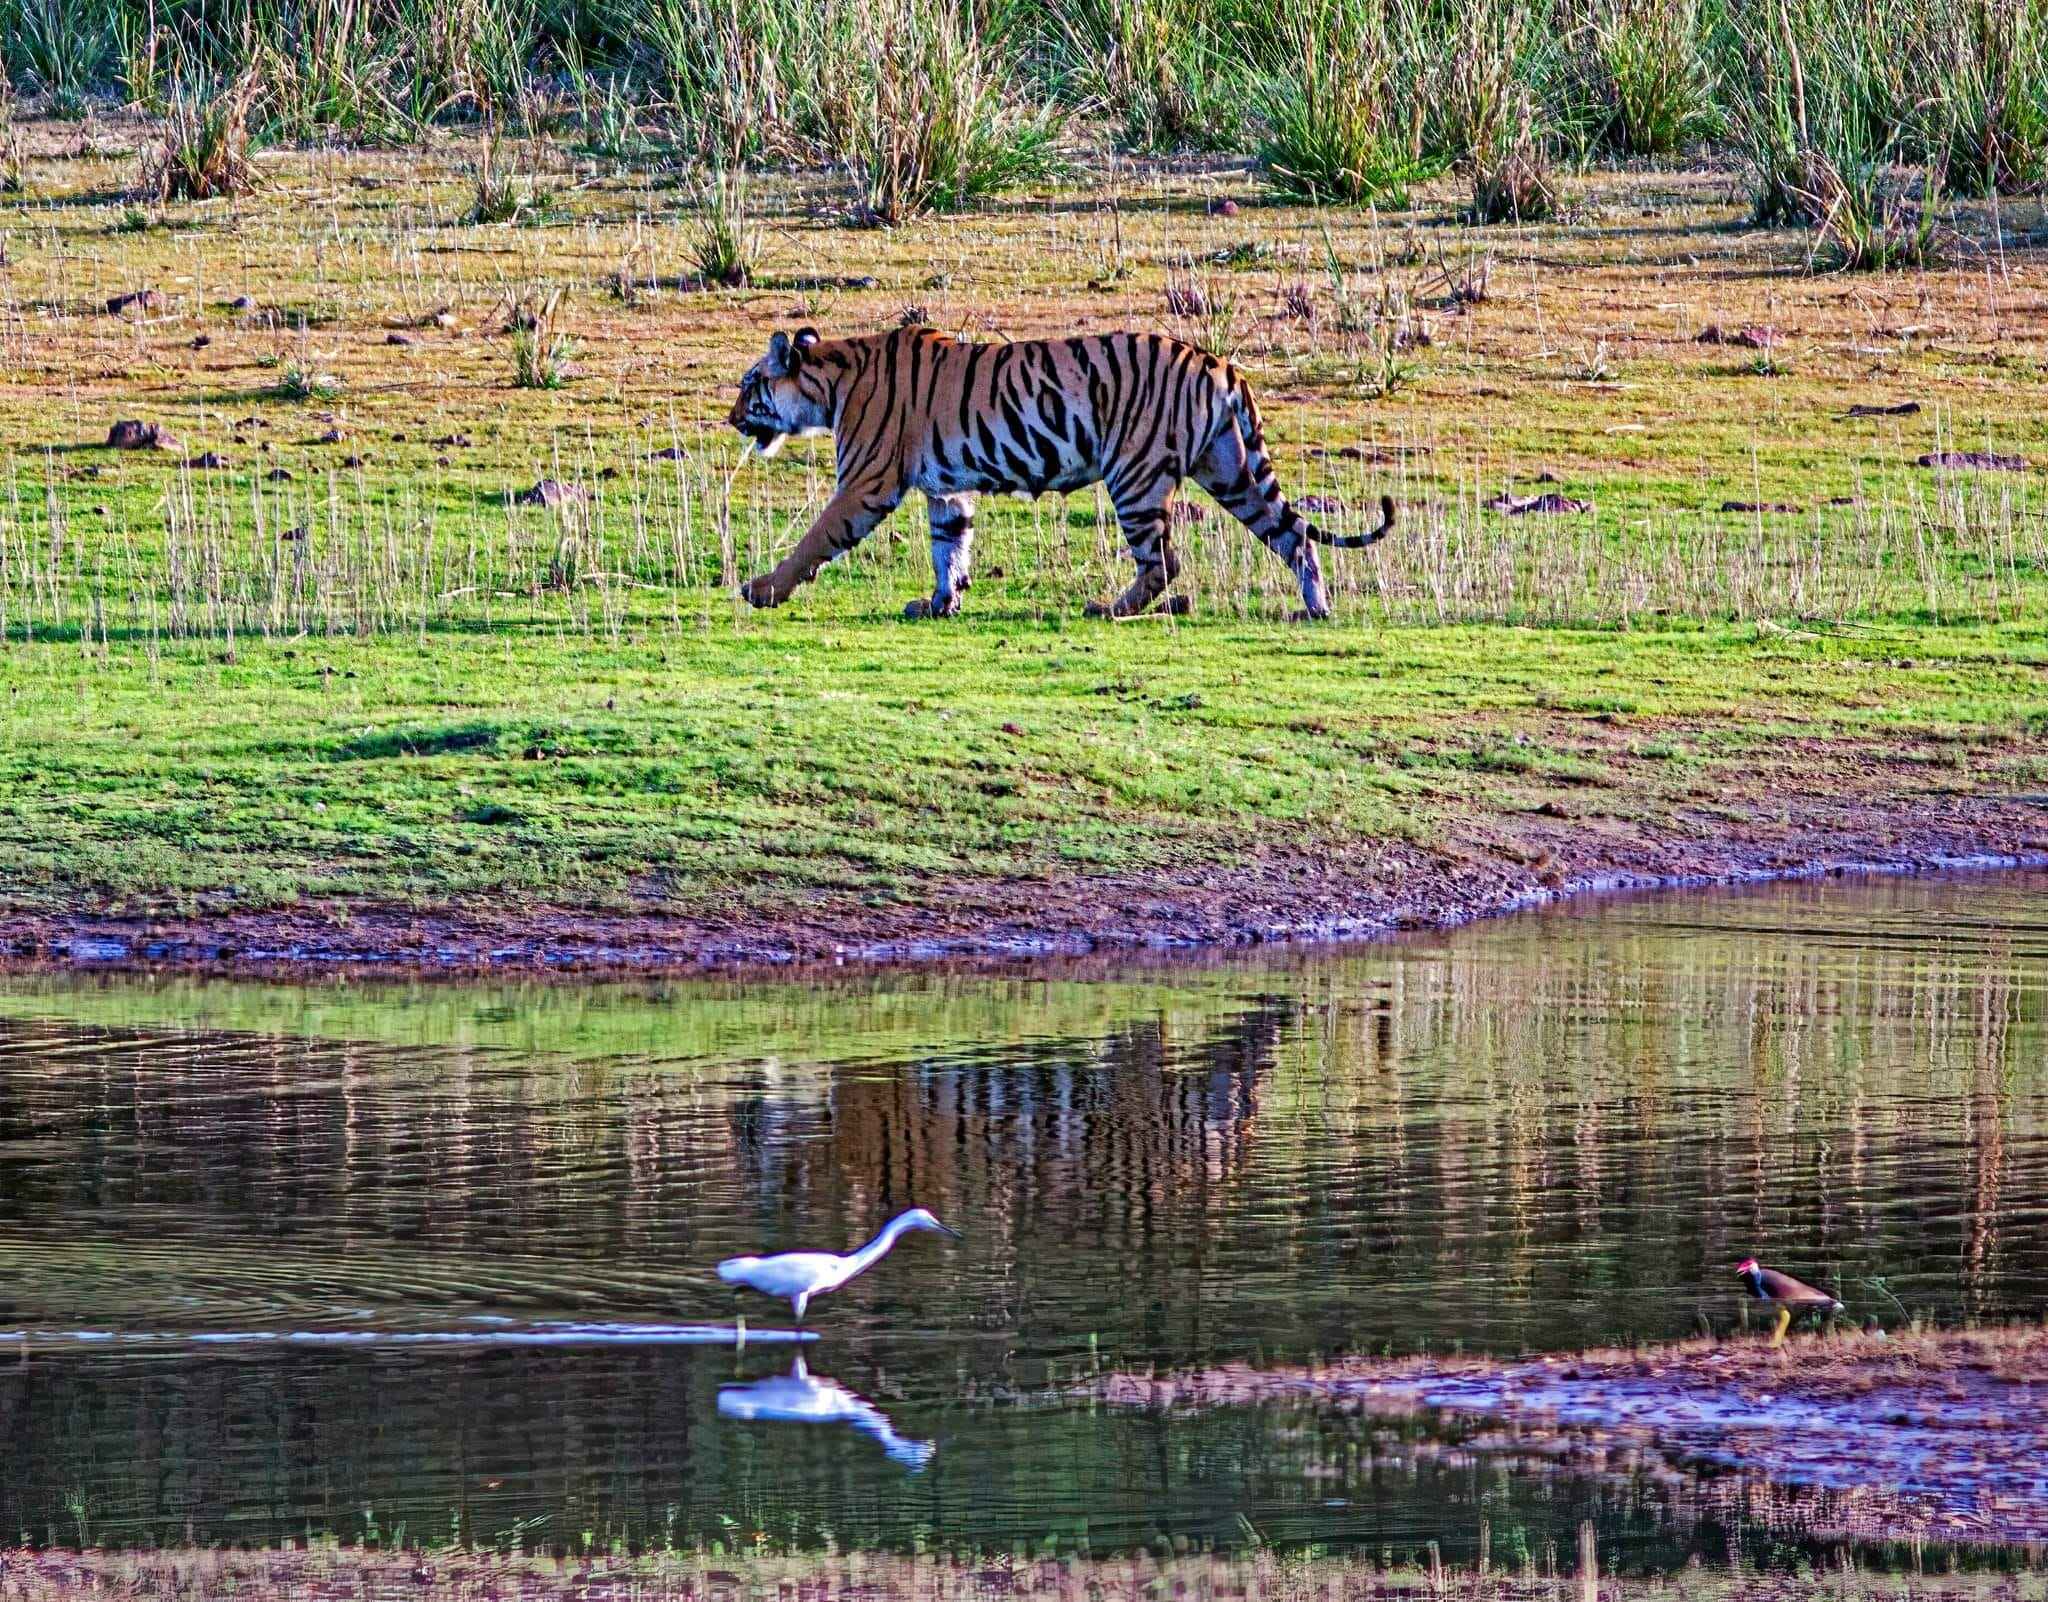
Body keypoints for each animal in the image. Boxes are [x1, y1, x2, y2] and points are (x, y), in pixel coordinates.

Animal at [720, 323, 1392, 622]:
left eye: (750, 386)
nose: (730, 419)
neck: (828, 382)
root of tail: (1218, 361)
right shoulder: (946, 488)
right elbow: (949, 546)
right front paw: (940, 602)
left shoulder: (866, 482)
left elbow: (815, 538)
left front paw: (763, 590)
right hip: (1229, 469)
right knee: (1294, 533)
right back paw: (1315, 608)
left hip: (1135, 474)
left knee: (1164, 560)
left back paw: (1110, 608)